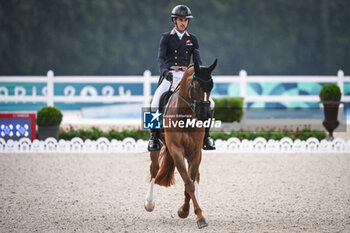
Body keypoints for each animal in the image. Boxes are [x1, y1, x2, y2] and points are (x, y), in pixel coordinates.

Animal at [144, 59, 216, 228]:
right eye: (195, 86)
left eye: (211, 86)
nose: (205, 114)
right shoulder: (176, 150)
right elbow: (187, 182)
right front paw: (196, 216)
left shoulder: (195, 152)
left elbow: (190, 181)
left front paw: (190, 211)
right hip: (157, 148)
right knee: (154, 169)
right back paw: (149, 203)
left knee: (196, 176)